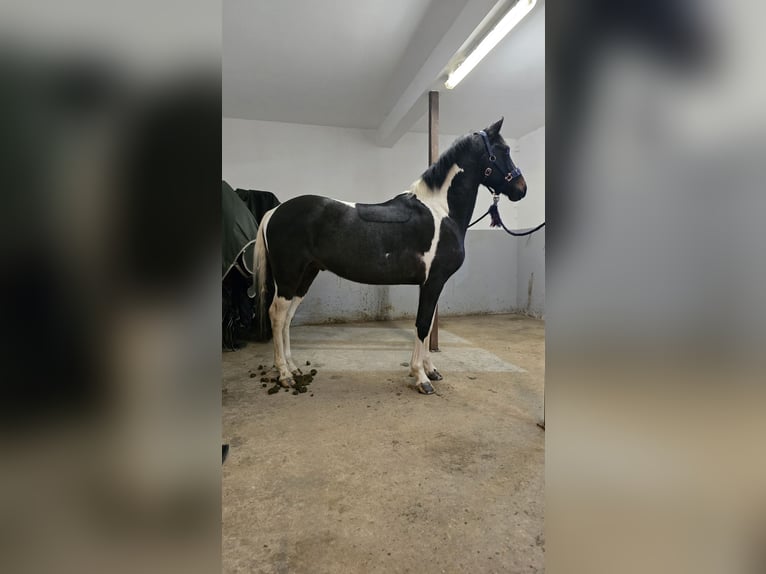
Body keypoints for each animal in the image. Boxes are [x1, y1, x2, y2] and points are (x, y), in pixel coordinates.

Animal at [252, 117, 528, 396]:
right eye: (503, 150)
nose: (522, 189)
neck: (441, 211)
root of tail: (275, 211)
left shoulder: (432, 284)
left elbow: (428, 324)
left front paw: (431, 370)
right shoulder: (433, 282)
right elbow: (423, 324)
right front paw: (421, 377)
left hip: (305, 275)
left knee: (288, 318)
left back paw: (293, 367)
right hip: (288, 277)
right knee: (277, 315)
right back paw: (284, 374)